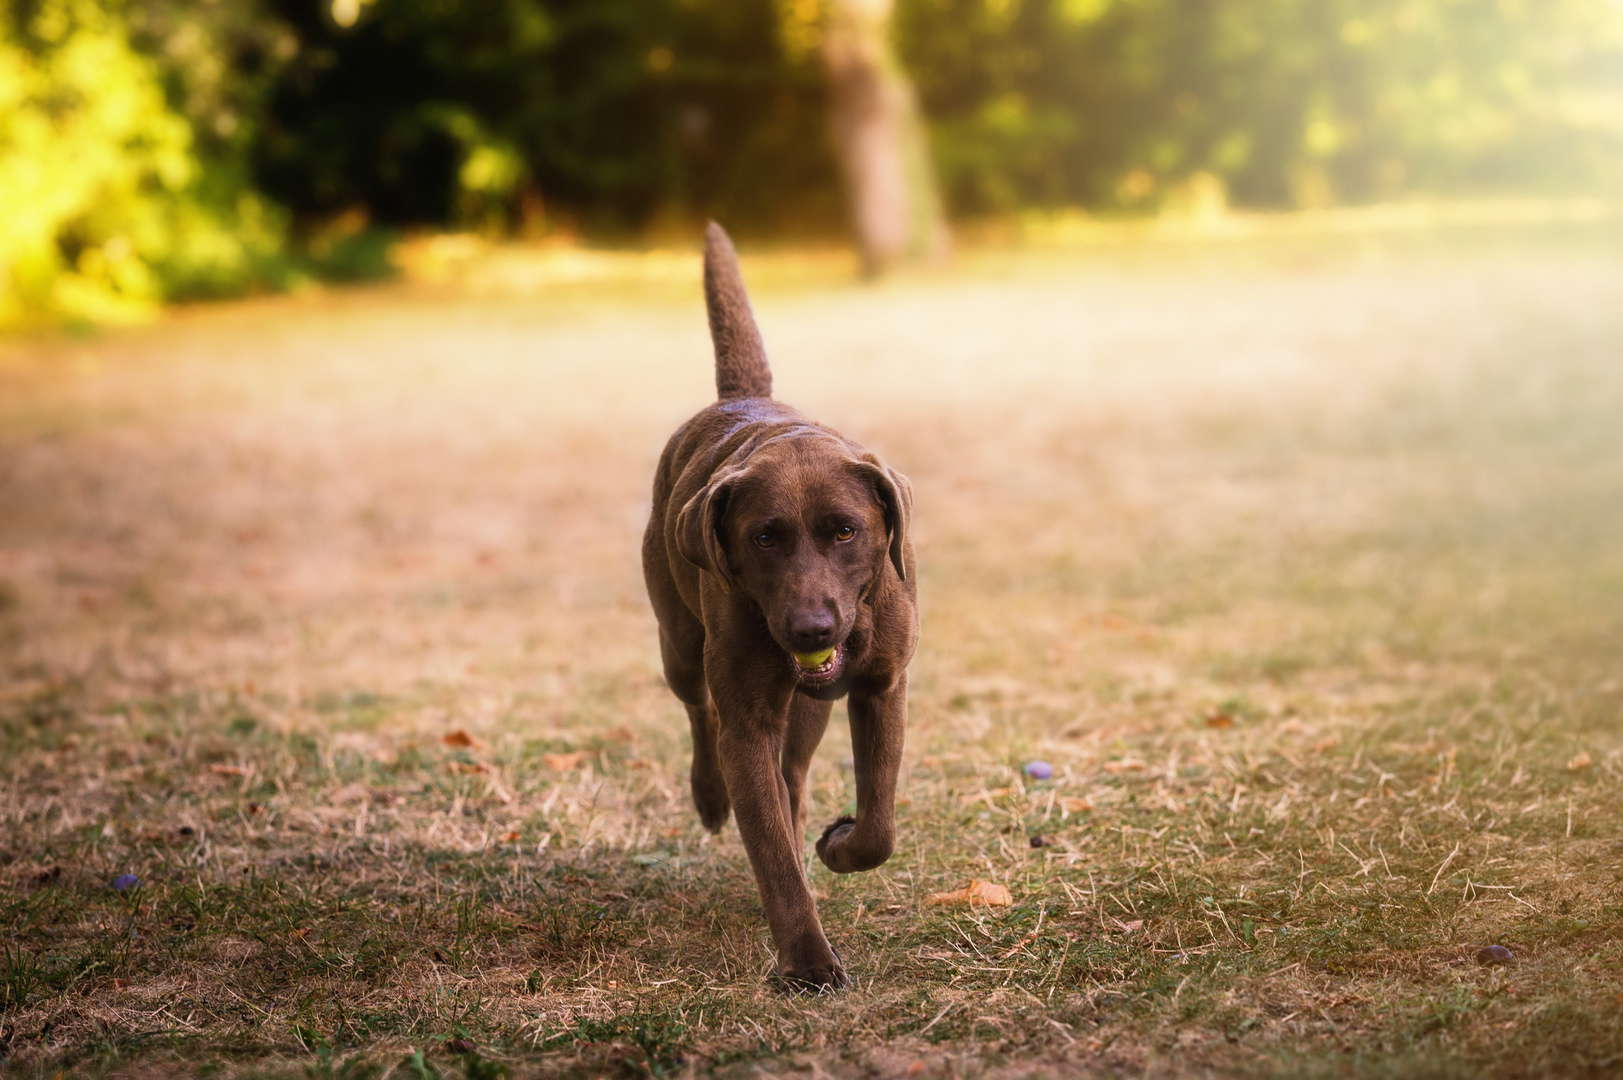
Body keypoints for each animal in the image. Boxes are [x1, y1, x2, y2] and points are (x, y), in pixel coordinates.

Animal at [645, 222, 928, 987]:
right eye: (764, 537)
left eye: (845, 530)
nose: (811, 628)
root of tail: (740, 397)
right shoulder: (747, 719)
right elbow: (768, 848)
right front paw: (807, 963)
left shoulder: (881, 686)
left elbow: (879, 822)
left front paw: (838, 845)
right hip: (679, 643)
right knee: (698, 711)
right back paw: (711, 795)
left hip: (810, 710)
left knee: (792, 777)